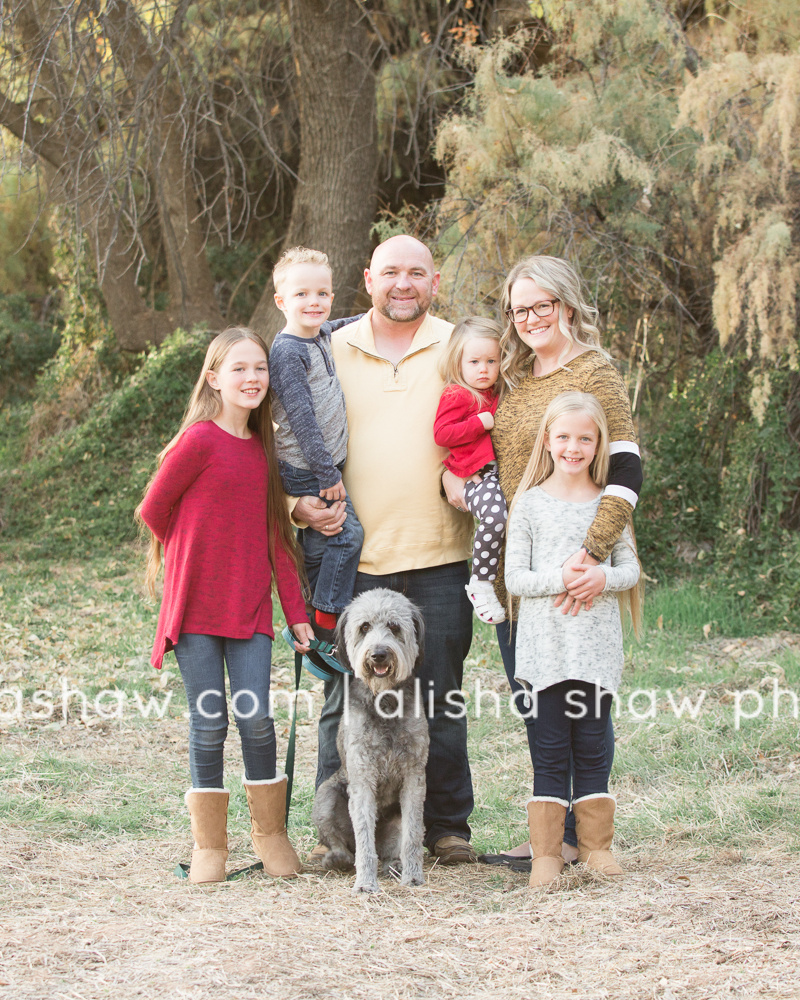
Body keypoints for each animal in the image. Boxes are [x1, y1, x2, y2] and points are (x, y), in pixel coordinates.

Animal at [310, 588, 428, 896]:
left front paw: (413, 876)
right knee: (345, 847)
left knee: (392, 848)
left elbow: (412, 836)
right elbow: (365, 838)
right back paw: (337, 858)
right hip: (326, 796)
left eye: (394, 627)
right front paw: (365, 882)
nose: (378, 654)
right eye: (364, 627)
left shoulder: (414, 778)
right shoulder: (362, 778)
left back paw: (394, 865)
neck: (384, 701)